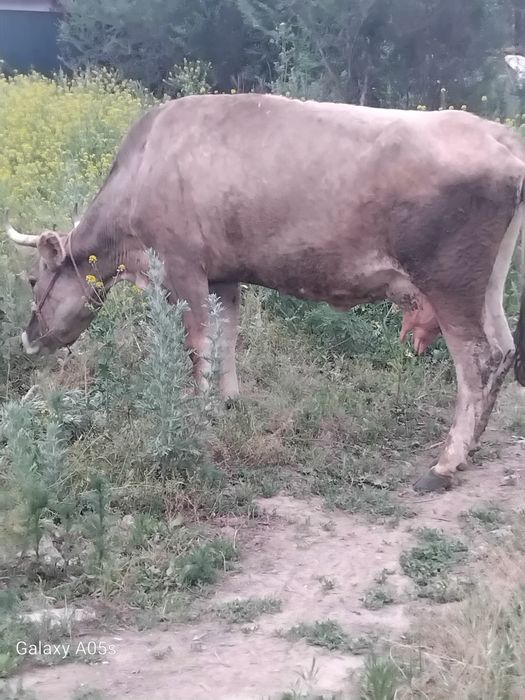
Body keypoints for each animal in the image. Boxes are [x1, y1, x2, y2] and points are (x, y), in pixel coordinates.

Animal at [5, 93, 525, 493]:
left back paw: (445, 464)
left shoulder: (183, 268)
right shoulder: (223, 276)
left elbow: (200, 345)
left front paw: (201, 413)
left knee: (476, 361)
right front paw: (230, 402)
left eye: (33, 280)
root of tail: (497, 134)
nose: (27, 340)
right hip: (487, 285)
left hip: (450, 282)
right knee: (503, 349)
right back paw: (472, 448)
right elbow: (227, 336)